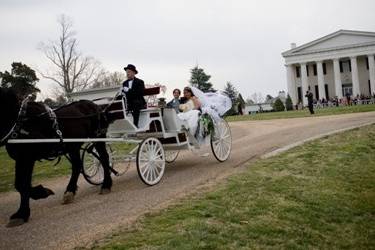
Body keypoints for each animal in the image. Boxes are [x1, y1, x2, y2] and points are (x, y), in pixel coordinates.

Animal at [0, 89, 114, 228]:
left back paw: (106, 185)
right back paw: (70, 191)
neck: (21, 121)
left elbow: (22, 185)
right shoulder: (20, 158)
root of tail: (95, 105)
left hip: (98, 137)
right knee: (77, 165)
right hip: (73, 146)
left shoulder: (27, 158)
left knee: (104, 158)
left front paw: (24, 211)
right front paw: (26, 208)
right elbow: (20, 184)